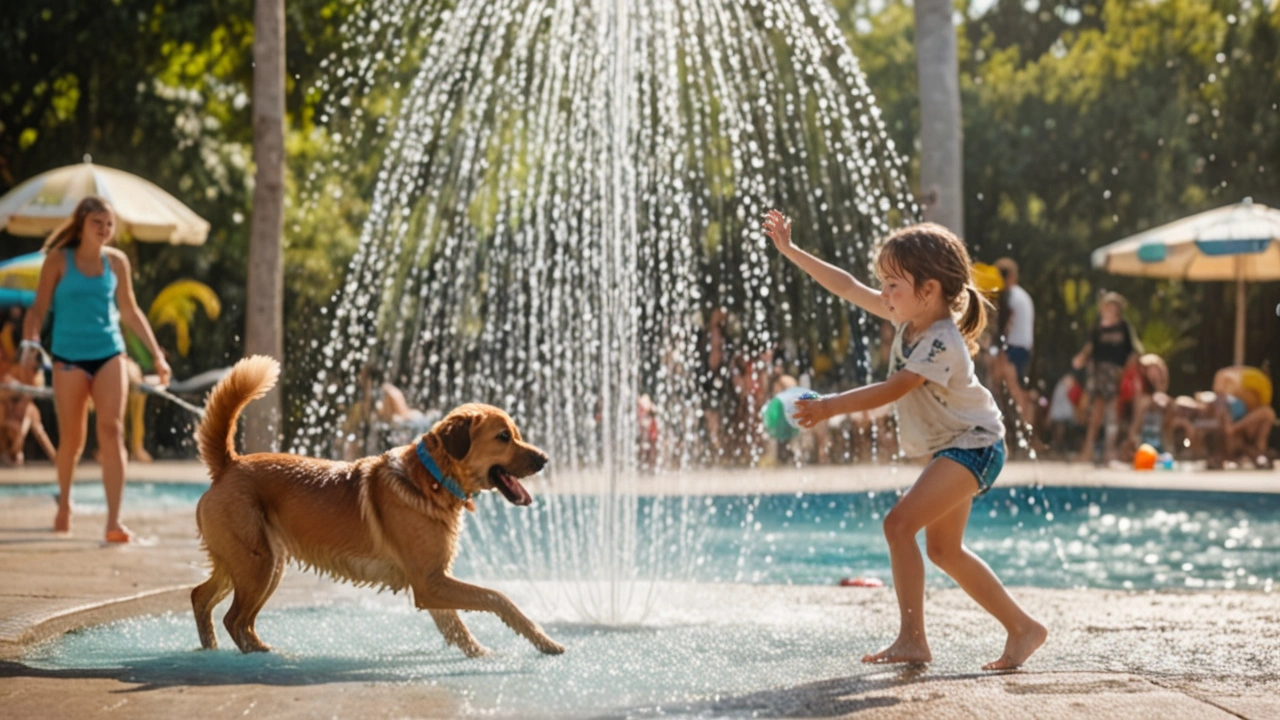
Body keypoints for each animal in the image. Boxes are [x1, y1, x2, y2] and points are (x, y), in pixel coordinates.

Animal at [192, 353, 563, 655]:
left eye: (516, 434)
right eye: (504, 437)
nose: (545, 459)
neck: (430, 479)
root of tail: (229, 463)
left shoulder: (432, 583)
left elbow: (456, 628)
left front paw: (483, 654)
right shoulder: (430, 582)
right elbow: (498, 597)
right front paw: (544, 642)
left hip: (257, 564)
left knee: (204, 599)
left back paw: (216, 649)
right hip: (259, 564)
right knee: (234, 618)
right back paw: (260, 657)